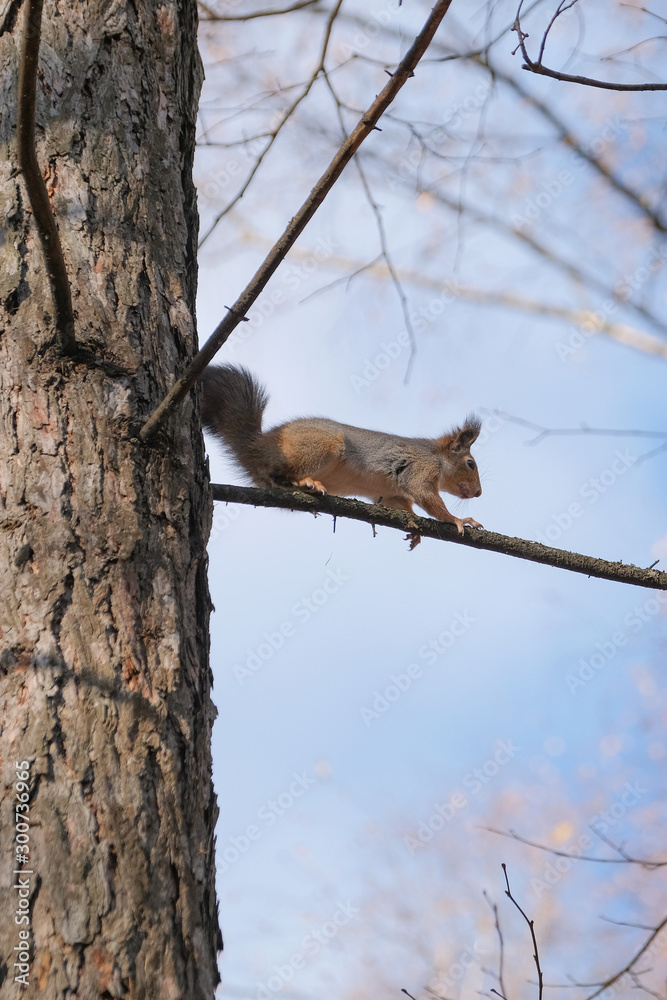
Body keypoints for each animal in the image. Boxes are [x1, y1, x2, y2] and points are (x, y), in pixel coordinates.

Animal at [200, 364, 483, 537]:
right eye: (471, 463)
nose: (479, 493)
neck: (437, 457)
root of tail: (257, 446)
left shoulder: (391, 494)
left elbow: (403, 507)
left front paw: (414, 531)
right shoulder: (420, 468)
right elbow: (427, 496)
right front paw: (457, 520)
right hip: (320, 446)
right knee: (278, 472)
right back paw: (306, 482)